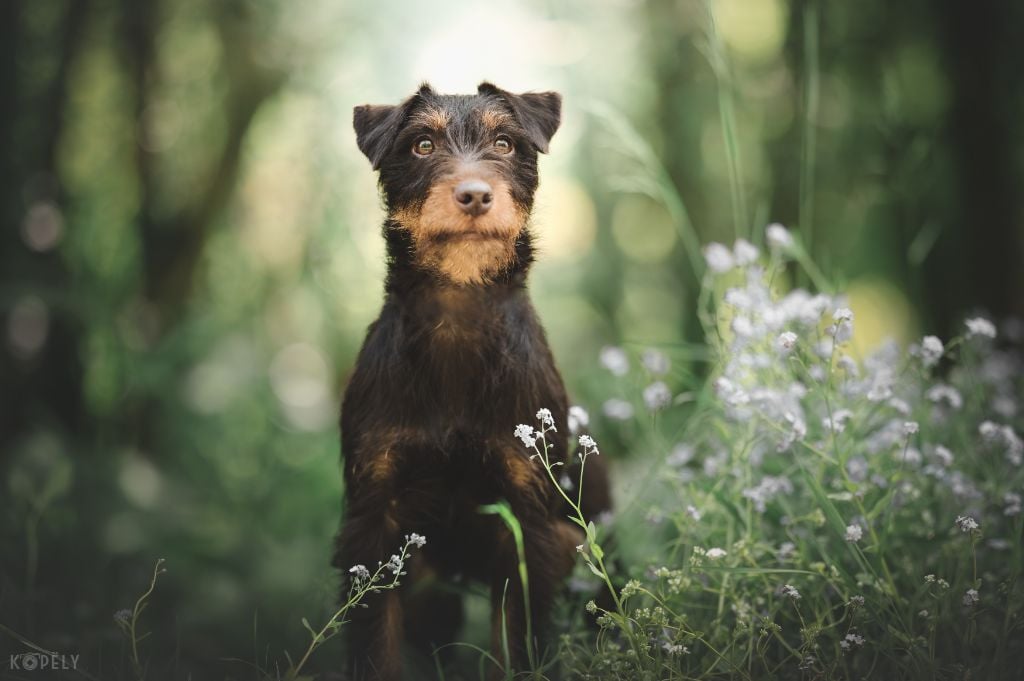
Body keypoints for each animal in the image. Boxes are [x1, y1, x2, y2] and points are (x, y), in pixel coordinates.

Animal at [333, 83, 606, 679]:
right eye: (422, 144)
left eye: (504, 143)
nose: (475, 195)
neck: (458, 312)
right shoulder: (374, 523)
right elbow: (375, 643)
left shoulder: (528, 525)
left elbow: (519, 643)